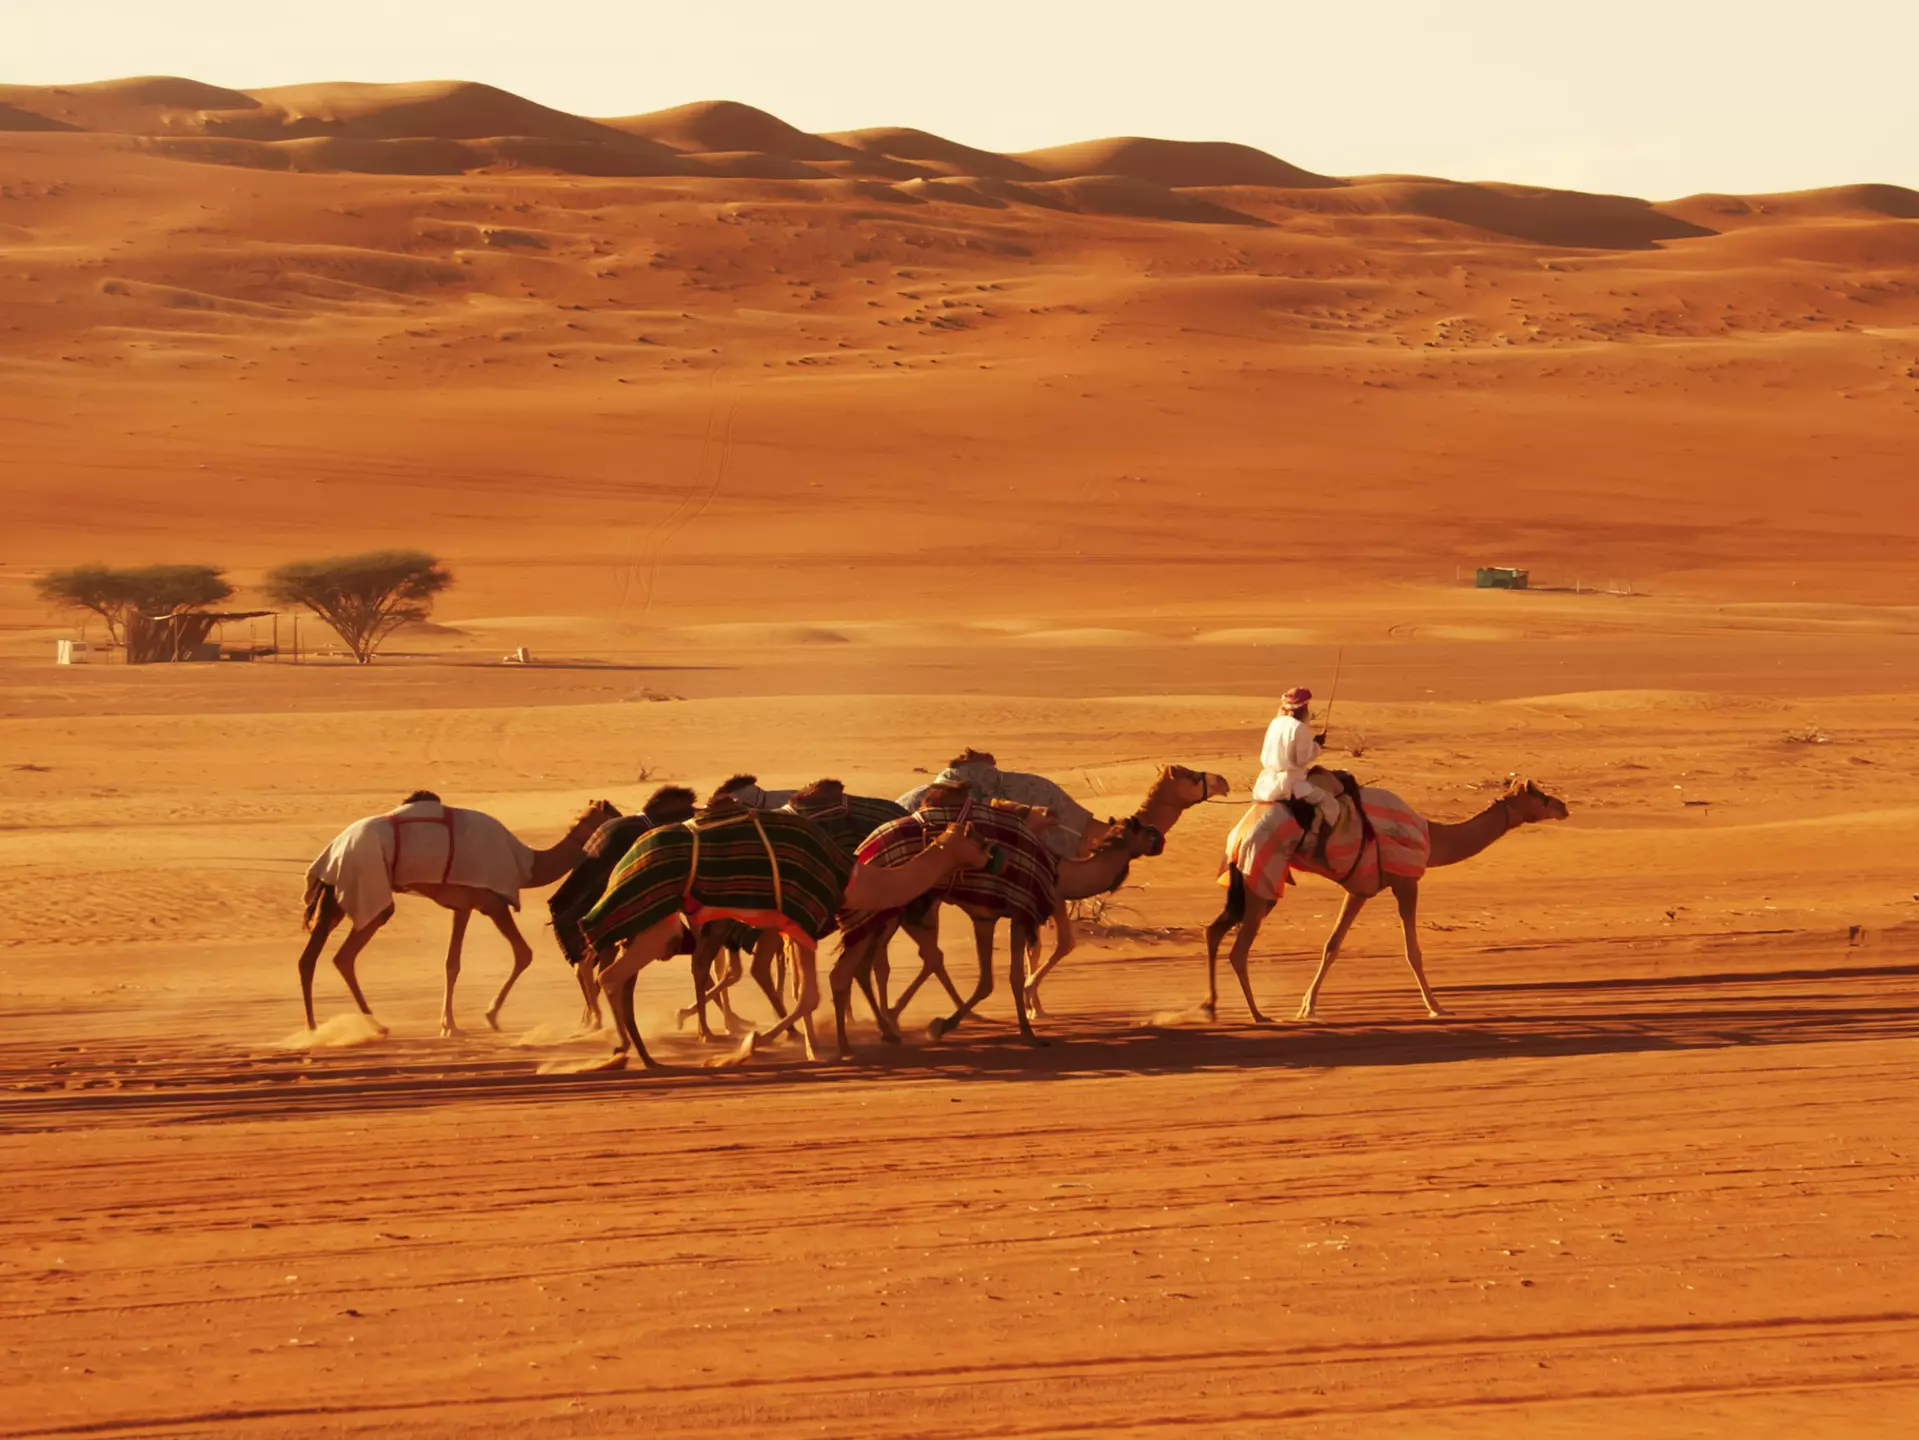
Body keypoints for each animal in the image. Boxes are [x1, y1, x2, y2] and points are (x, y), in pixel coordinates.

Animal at [298, 792, 618, 1036]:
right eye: (612, 811)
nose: (627, 817)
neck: (528, 864)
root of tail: (333, 849)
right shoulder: (491, 902)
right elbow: (522, 953)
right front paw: (487, 1017)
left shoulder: (462, 905)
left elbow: (452, 963)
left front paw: (449, 1024)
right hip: (364, 886)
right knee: (344, 955)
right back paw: (367, 1026)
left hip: (335, 894)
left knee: (313, 957)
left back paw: (319, 1026)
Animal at [582, 805, 991, 1068]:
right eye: (973, 838)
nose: (989, 855)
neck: (850, 879)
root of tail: (622, 865)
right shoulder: (804, 922)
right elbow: (809, 994)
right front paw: (753, 1043)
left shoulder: (790, 928)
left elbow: (800, 992)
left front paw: (810, 1047)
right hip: (656, 924)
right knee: (612, 976)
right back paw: (629, 1052)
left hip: (652, 923)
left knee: (621, 977)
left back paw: (639, 1052)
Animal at [1203, 776, 1569, 1022]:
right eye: (1539, 796)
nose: (1563, 806)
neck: (1432, 837)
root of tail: (1237, 836)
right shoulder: (1406, 882)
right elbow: (1412, 951)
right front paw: (1437, 1007)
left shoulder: (1359, 889)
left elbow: (1332, 945)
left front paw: (1307, 1006)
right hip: (1261, 879)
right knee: (1238, 950)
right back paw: (1257, 1014)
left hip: (1244, 886)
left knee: (1214, 932)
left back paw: (1212, 1006)